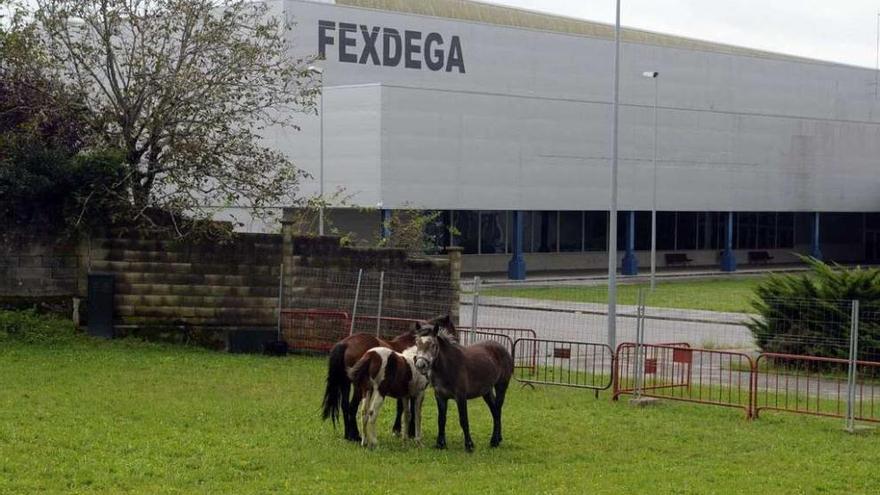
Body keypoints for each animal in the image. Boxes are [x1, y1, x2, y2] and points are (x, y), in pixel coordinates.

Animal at [318, 316, 454, 444]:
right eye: (452, 330)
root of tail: (345, 343)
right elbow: (406, 409)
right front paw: (404, 431)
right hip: (359, 387)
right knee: (353, 407)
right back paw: (356, 436)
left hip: (346, 383)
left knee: (346, 406)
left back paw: (349, 435)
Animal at [414, 322, 512, 454]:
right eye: (417, 342)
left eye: (433, 345)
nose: (420, 365)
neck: (447, 367)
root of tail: (502, 349)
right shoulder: (440, 396)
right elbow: (441, 419)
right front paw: (441, 444)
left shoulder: (460, 397)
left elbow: (463, 420)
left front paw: (469, 445)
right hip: (486, 391)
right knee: (495, 411)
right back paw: (498, 439)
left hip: (501, 386)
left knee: (498, 411)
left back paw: (494, 441)